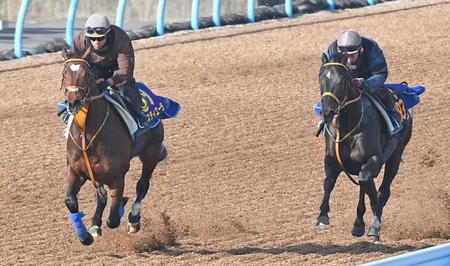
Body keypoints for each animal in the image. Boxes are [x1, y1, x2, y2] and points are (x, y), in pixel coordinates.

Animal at [59, 47, 165, 245]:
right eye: (64, 74)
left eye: (87, 75)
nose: (73, 103)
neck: (88, 135)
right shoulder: (76, 171)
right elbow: (71, 201)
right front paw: (85, 235)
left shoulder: (117, 176)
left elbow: (114, 217)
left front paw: (123, 207)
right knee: (101, 196)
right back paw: (95, 224)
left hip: (151, 152)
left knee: (142, 185)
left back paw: (133, 219)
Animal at [316, 52, 412, 243]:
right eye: (321, 78)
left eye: (342, 80)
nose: (327, 112)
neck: (349, 126)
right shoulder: (331, 160)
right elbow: (328, 182)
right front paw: (322, 216)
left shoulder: (370, 161)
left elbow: (363, 183)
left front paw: (359, 224)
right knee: (373, 192)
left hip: (395, 156)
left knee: (383, 192)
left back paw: (374, 226)